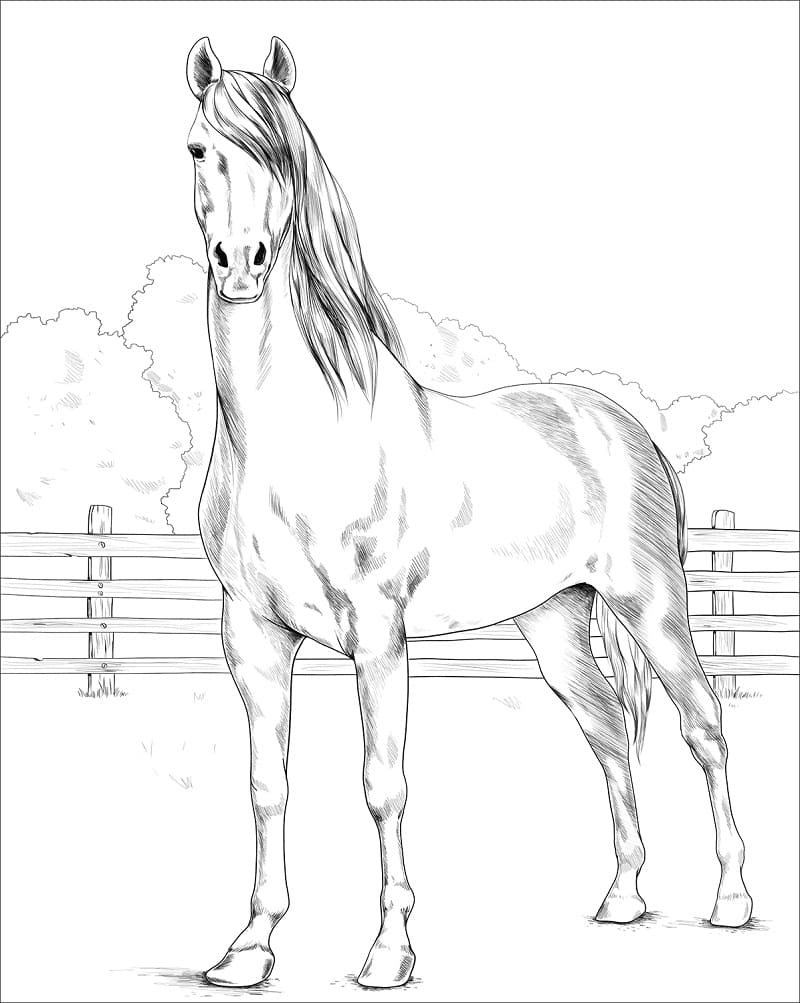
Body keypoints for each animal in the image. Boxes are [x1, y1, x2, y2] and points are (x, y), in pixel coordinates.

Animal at [185, 35, 752, 989]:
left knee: (703, 728)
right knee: (608, 733)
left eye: (284, 156)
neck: (298, 433)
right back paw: (623, 898)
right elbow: (267, 787)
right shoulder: (252, 635)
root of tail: (620, 425)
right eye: (199, 148)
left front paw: (388, 952)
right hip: (554, 622)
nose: (241, 263)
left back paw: (733, 901)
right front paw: (248, 949)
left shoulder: (379, 636)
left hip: (653, 606)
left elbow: (383, 786)